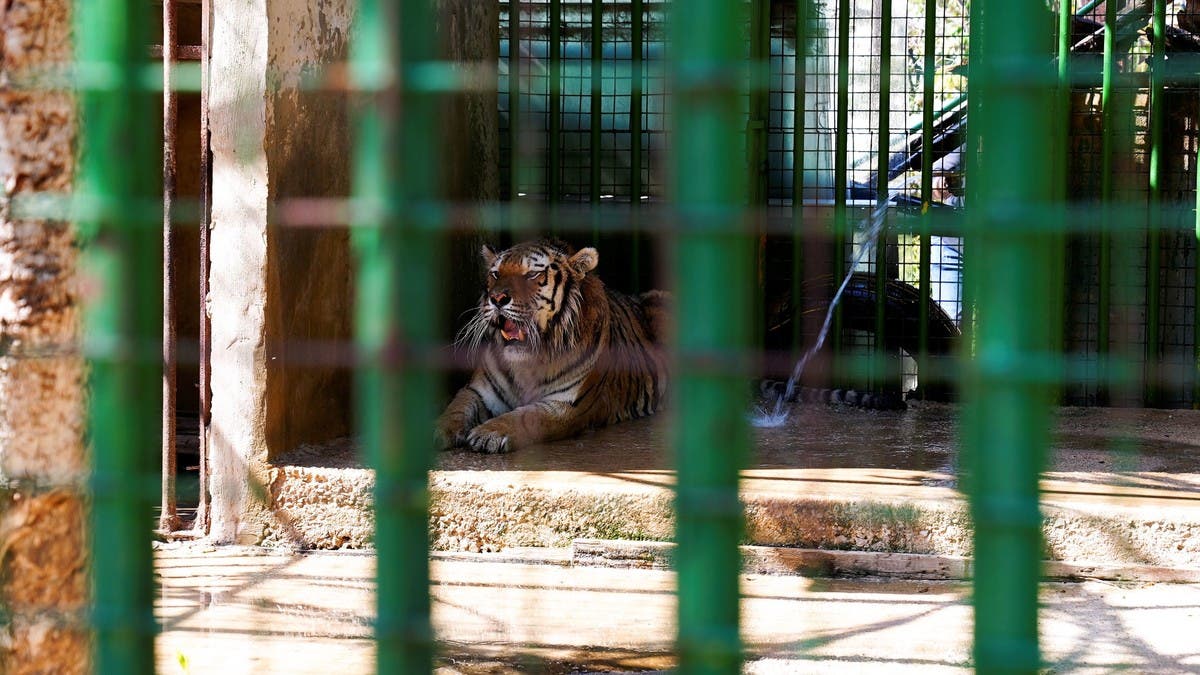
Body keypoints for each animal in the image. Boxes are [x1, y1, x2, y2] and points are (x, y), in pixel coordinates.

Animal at [436, 236, 672, 451]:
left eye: (532, 274)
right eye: (495, 274)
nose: (496, 298)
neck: (526, 363)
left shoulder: (568, 405)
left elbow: (525, 416)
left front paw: (489, 432)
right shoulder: (478, 392)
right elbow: (455, 409)